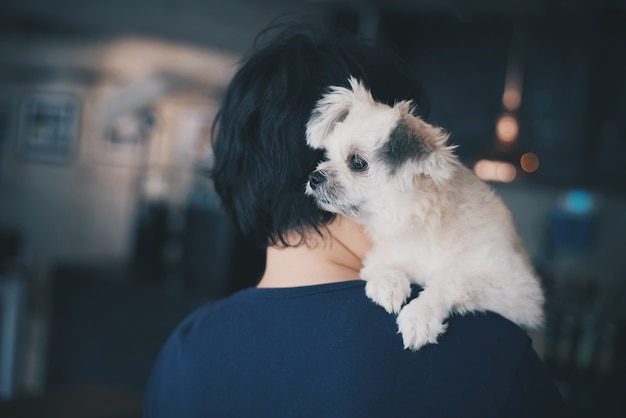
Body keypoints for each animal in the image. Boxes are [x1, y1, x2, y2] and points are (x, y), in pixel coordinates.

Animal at [304, 77, 544, 350]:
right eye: (327, 156)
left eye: (357, 162)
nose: (314, 177)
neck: (422, 225)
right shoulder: (381, 255)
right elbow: (381, 266)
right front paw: (388, 283)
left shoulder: (519, 292)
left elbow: (453, 278)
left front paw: (421, 314)